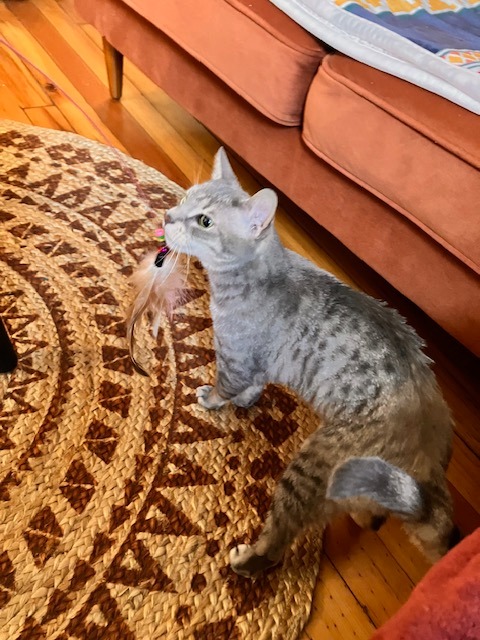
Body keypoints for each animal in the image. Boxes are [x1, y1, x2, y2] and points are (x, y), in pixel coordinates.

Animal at [163, 147, 455, 578]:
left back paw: (247, 559)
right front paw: (247, 400)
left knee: (277, 545)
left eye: (204, 221)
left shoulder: (235, 355)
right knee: (369, 511)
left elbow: (225, 385)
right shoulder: (259, 361)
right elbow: (253, 385)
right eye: (185, 198)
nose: (168, 216)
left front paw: (212, 398)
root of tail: (433, 456)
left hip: (309, 468)